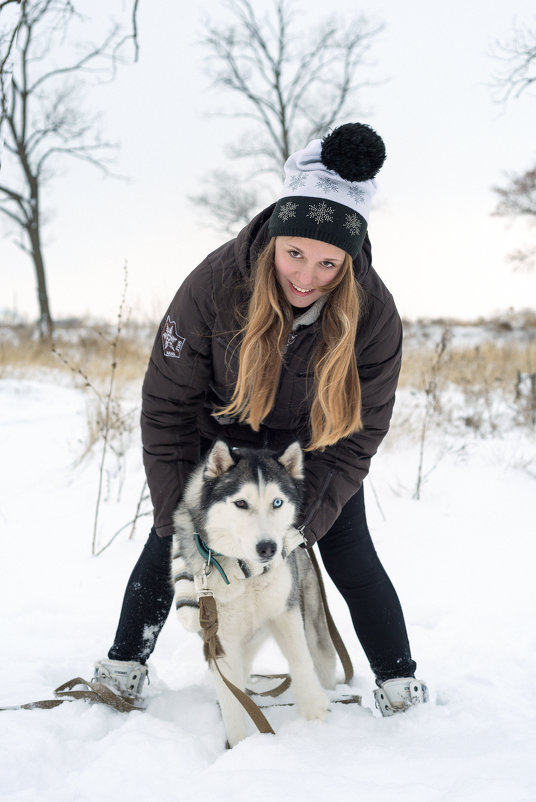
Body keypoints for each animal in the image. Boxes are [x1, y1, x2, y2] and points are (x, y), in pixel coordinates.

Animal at [172, 438, 338, 744]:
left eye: (277, 502)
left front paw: (314, 714)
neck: (246, 573)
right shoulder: (220, 639)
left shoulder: (285, 613)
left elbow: (300, 660)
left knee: (321, 658)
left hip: (314, 626)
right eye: (241, 503)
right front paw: (241, 745)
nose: (268, 548)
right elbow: (231, 698)